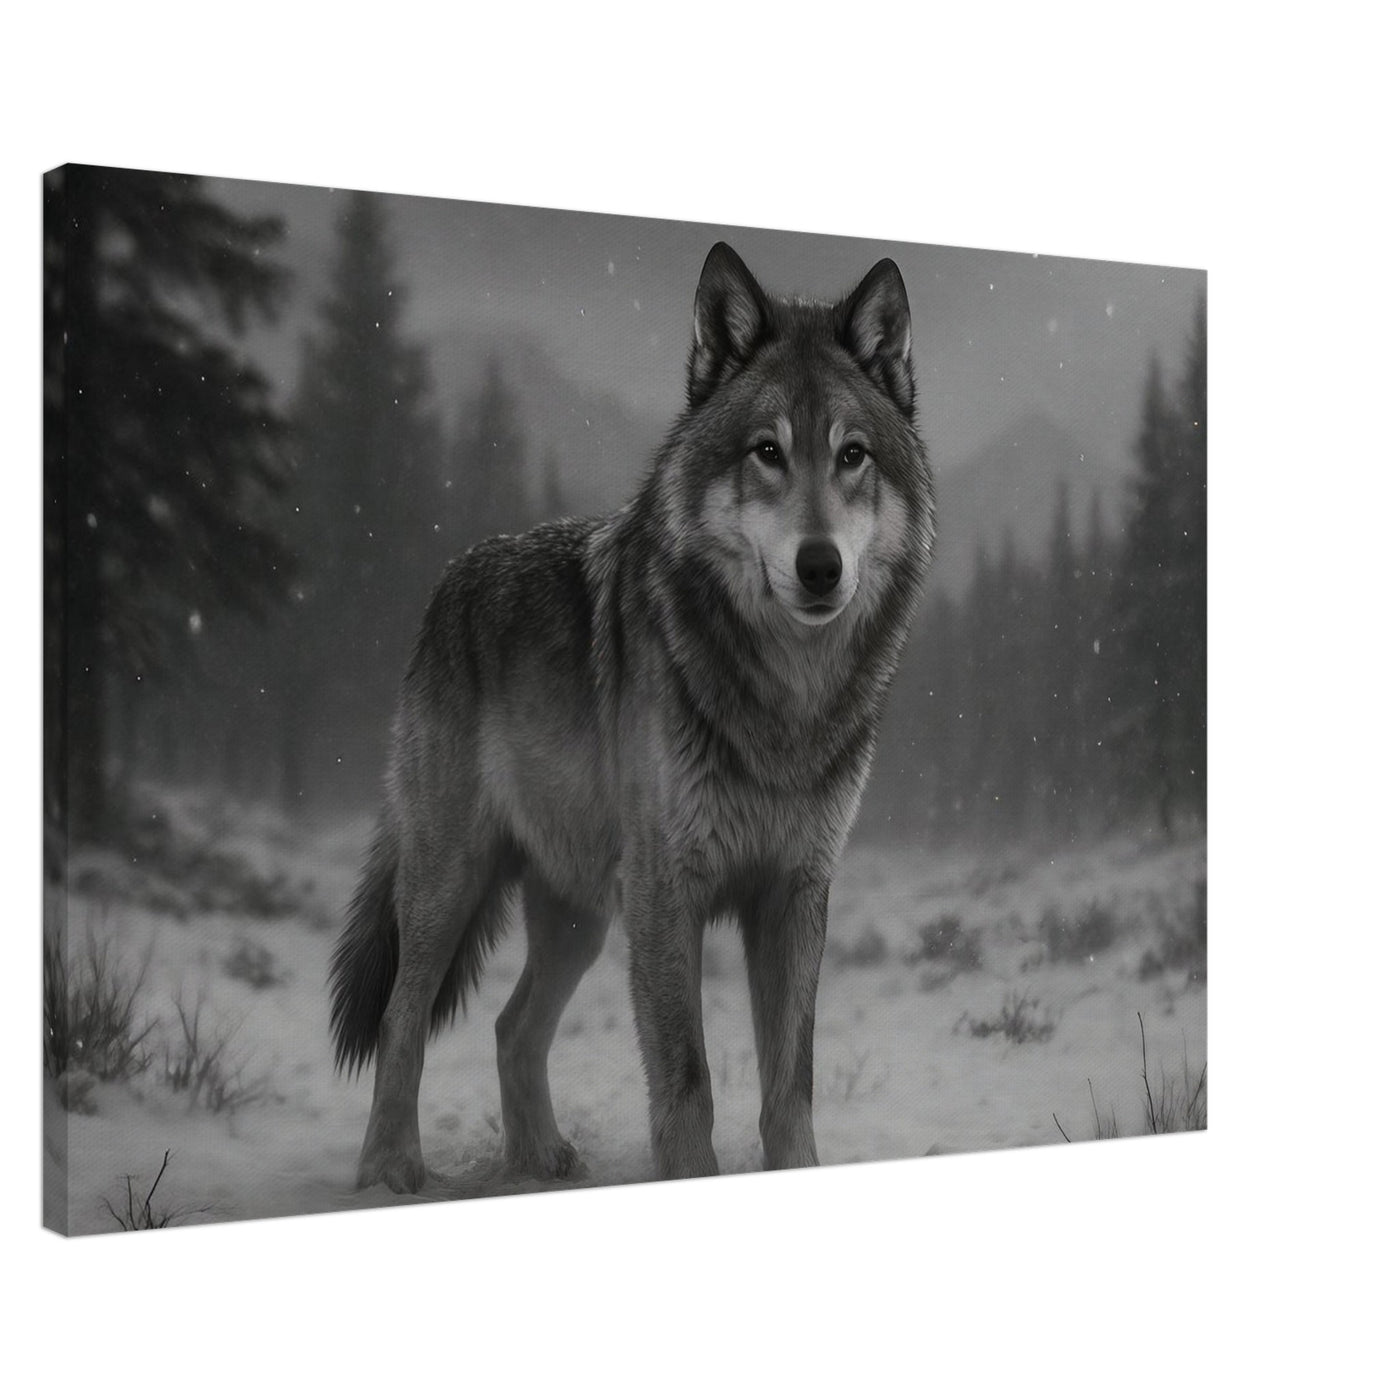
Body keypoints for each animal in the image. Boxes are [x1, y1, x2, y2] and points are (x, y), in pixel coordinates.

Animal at [330, 242, 935, 1193]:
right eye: (767, 452)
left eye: (853, 456)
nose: (820, 566)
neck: (783, 706)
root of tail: (449, 580)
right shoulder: (666, 893)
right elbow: (688, 1081)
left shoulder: (795, 894)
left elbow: (789, 1084)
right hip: (453, 882)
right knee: (403, 1014)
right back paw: (391, 1167)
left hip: (579, 917)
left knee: (510, 1026)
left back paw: (539, 1157)